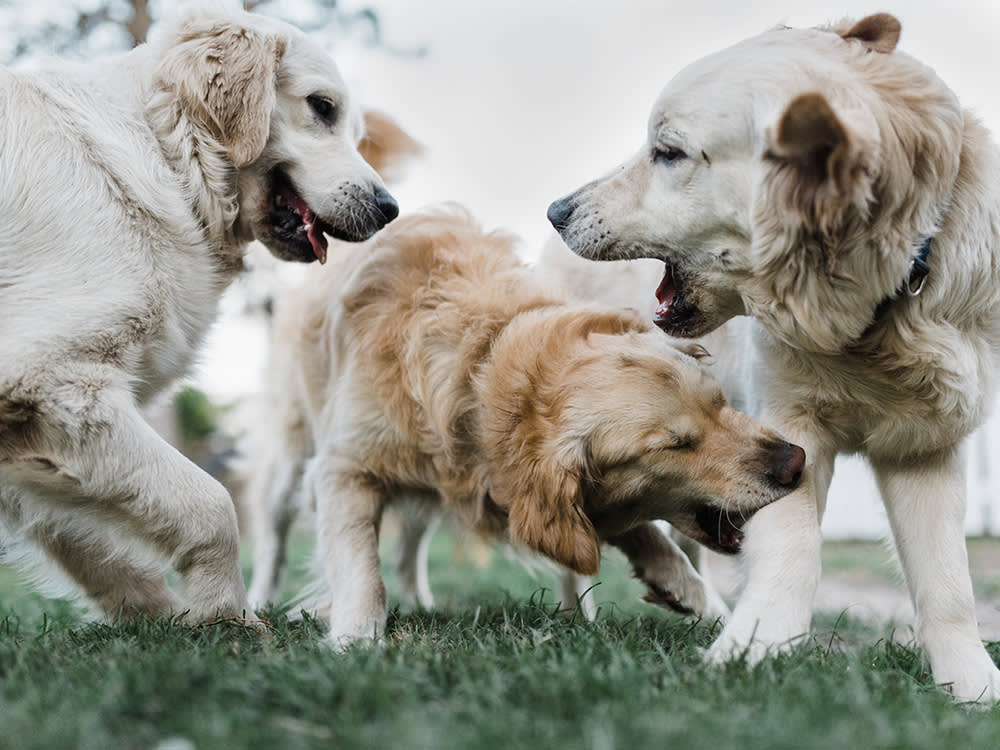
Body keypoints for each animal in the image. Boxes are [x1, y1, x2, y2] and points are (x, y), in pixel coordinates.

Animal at [0, 7, 398, 624]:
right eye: (321, 107)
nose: (389, 208)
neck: (165, 150)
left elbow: (93, 546)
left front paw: (158, 618)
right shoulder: (52, 380)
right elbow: (209, 504)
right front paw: (224, 617)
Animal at [552, 13, 1000, 704]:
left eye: (669, 152)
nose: (557, 211)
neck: (876, 310)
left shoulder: (923, 450)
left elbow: (948, 583)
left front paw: (972, 688)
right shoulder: (790, 427)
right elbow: (793, 549)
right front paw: (755, 649)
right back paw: (589, 617)